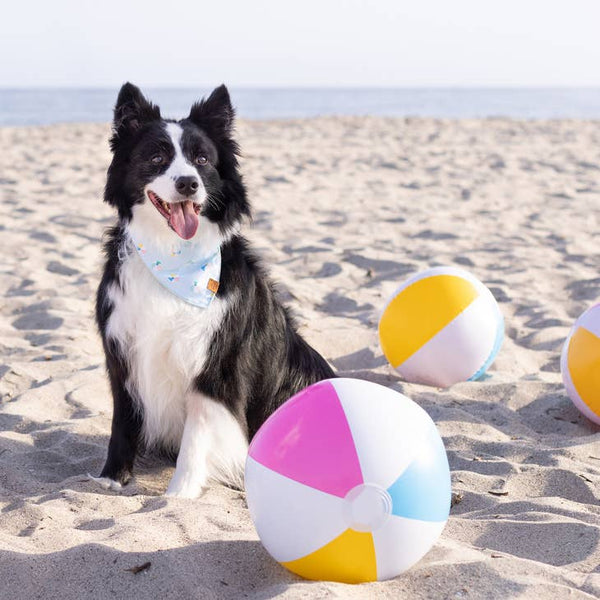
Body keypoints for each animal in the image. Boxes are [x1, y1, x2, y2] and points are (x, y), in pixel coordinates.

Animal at [96, 83, 336, 496]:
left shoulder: (216, 364)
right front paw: (113, 476)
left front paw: (180, 494)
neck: (171, 255)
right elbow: (122, 420)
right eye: (157, 157)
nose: (188, 183)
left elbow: (197, 432)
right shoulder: (123, 349)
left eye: (202, 159)